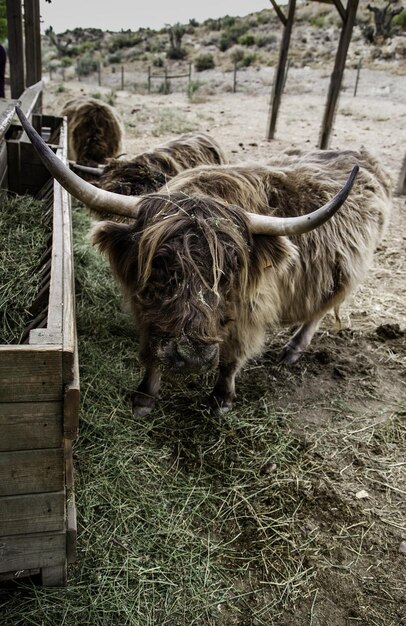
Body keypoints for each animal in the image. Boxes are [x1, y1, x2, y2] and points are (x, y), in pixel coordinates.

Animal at [17, 108, 392, 414]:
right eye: (161, 267)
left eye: (230, 272)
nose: (193, 356)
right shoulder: (146, 311)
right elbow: (152, 352)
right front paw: (144, 399)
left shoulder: (249, 313)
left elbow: (230, 359)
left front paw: (221, 399)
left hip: (345, 274)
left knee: (318, 311)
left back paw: (292, 350)